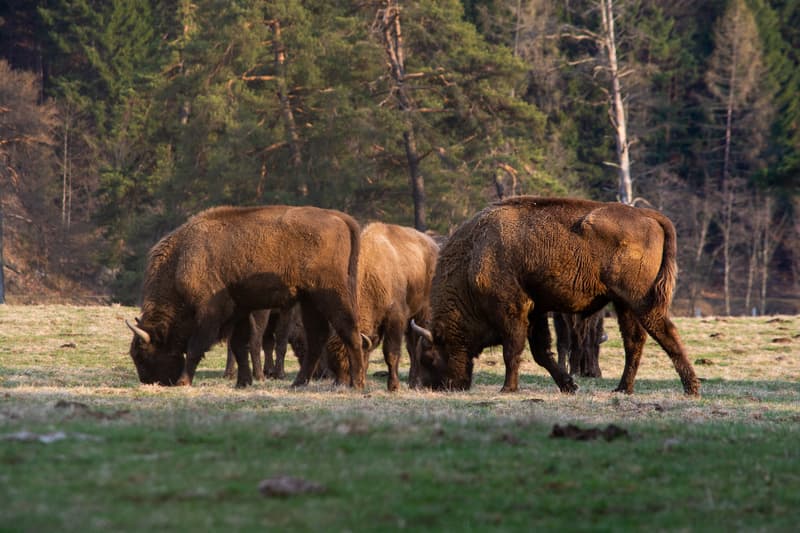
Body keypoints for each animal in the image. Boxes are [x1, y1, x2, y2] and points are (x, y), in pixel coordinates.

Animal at [126, 205, 365, 389]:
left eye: (142, 355)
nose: (149, 381)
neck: (181, 261)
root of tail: (339, 218)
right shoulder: (239, 311)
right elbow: (240, 346)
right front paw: (243, 382)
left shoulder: (210, 314)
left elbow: (196, 347)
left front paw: (183, 382)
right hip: (310, 301)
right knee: (317, 337)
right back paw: (298, 383)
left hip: (330, 296)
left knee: (349, 331)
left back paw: (357, 383)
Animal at [412, 196, 700, 396]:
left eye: (430, 356)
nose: (432, 386)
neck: (475, 255)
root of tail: (647, 214)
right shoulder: (536, 311)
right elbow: (541, 352)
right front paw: (569, 385)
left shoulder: (512, 310)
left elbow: (512, 350)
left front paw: (508, 388)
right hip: (624, 305)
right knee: (634, 342)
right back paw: (622, 389)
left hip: (641, 301)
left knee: (666, 334)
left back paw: (691, 388)